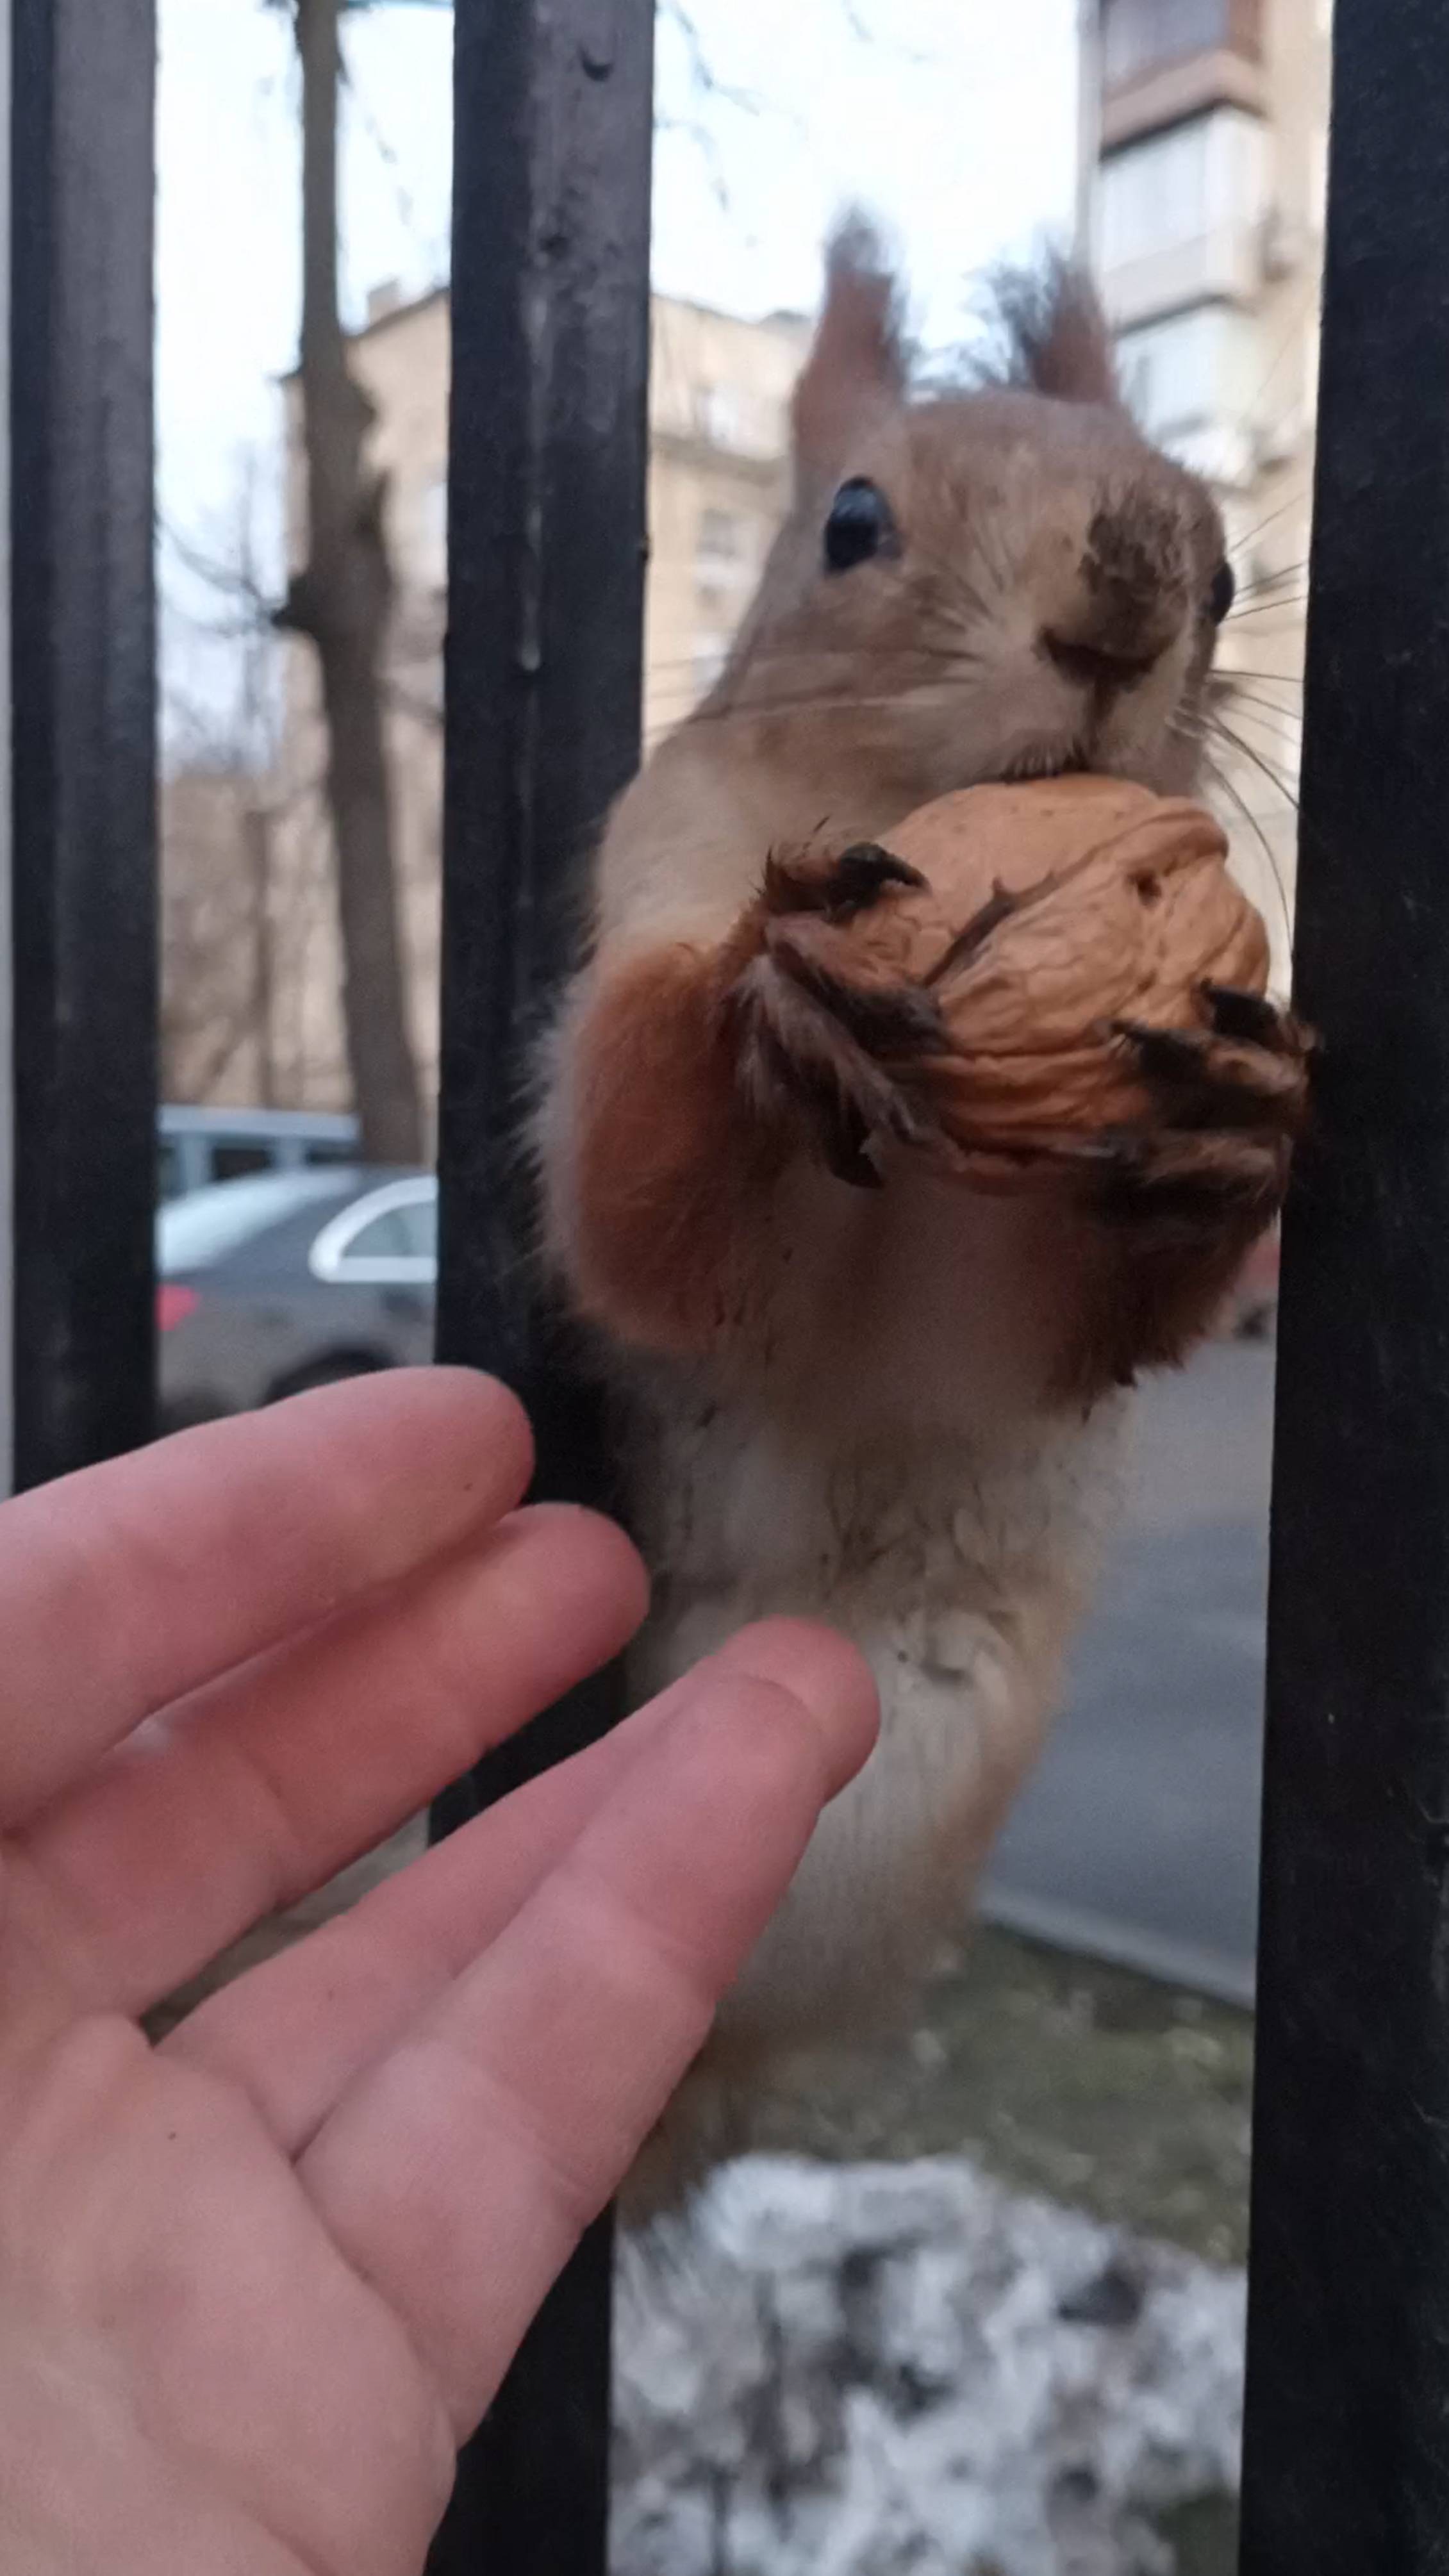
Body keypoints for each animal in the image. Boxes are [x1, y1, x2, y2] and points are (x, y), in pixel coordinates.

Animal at [536, 219, 1307, 2208]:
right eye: (853, 519)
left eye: (1226, 568)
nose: (1119, 608)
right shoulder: (655, 873)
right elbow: (649, 1222)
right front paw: (766, 1004)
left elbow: (1062, 1322)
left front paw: (1226, 1121)